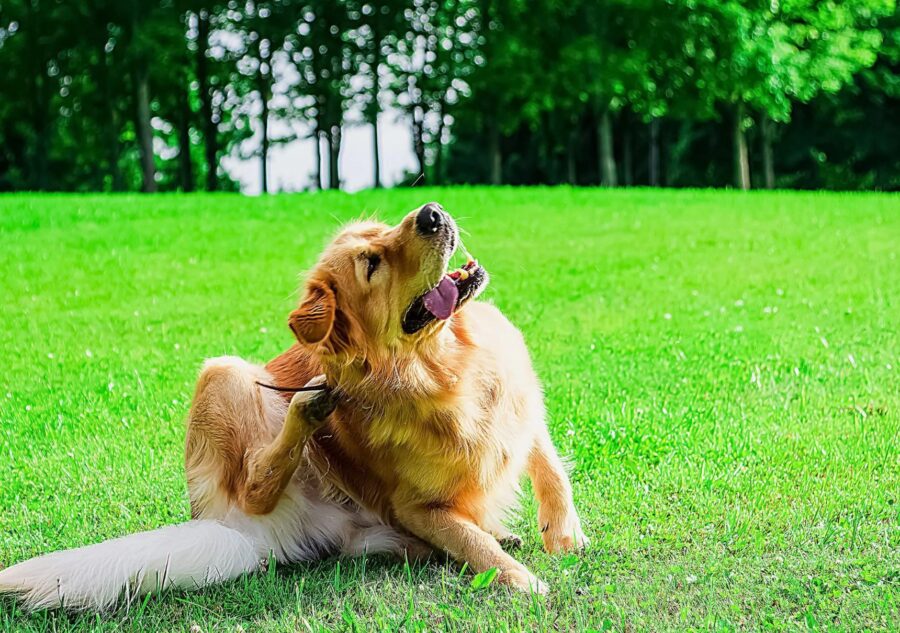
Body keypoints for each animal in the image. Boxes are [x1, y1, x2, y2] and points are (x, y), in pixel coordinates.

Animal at [0, 202, 584, 608]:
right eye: (372, 263)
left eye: (384, 228)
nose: (431, 212)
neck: (445, 364)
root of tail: (234, 532)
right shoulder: (414, 505)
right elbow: (472, 541)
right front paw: (523, 581)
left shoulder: (522, 411)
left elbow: (550, 468)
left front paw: (564, 535)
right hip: (225, 374)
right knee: (256, 482)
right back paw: (308, 409)